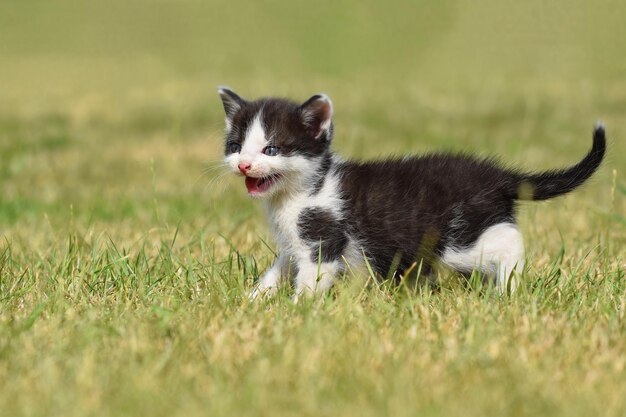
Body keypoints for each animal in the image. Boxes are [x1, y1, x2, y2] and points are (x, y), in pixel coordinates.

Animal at [218, 87, 604, 296]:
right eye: (235, 146)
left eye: (271, 150)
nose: (244, 165)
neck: (303, 191)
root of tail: (499, 176)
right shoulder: (292, 245)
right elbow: (278, 270)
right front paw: (254, 300)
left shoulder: (322, 236)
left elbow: (313, 277)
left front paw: (299, 311)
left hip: (457, 241)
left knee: (509, 242)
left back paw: (507, 288)